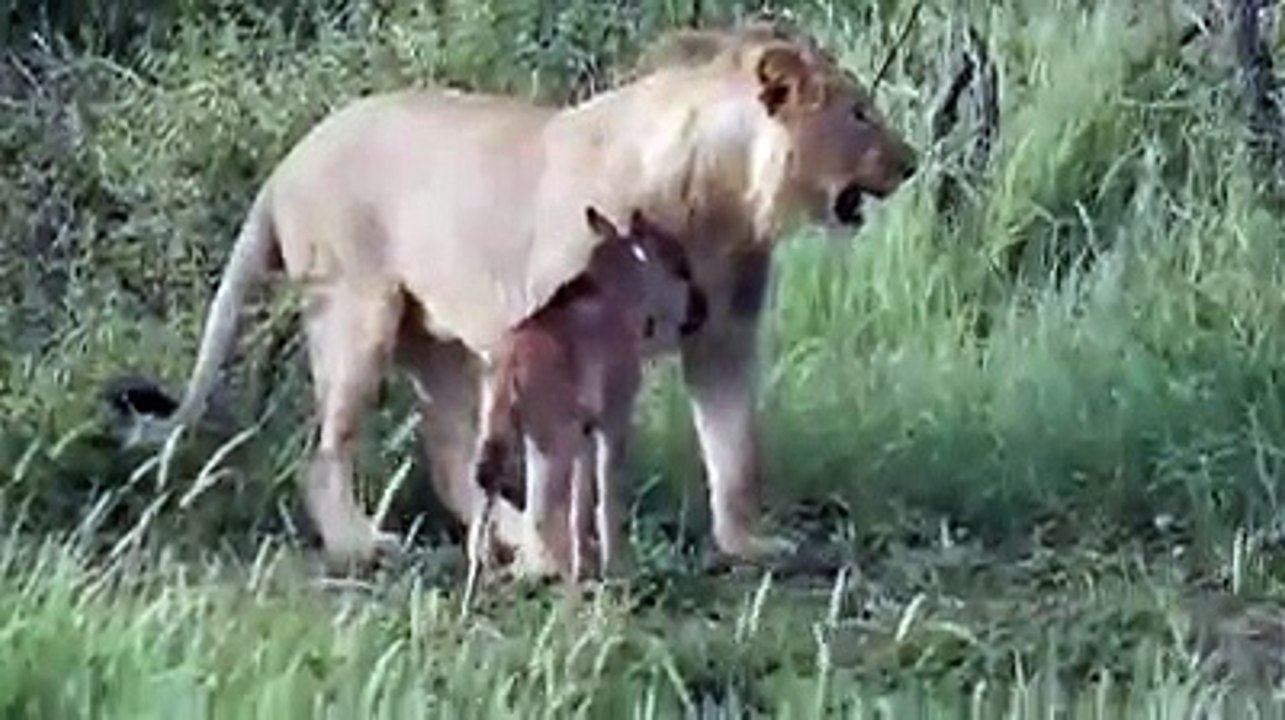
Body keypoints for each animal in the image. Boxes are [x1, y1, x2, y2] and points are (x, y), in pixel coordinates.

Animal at [108, 19, 917, 574]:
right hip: (356, 313)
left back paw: (507, 536)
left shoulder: (723, 338)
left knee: (451, 455)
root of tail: (287, 161)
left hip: (439, 339)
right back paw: (366, 544)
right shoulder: (564, 333)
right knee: (327, 451)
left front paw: (746, 545)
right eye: (859, 114)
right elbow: (567, 465)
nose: (910, 163)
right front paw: (562, 559)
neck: (722, 202)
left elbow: (735, 449)